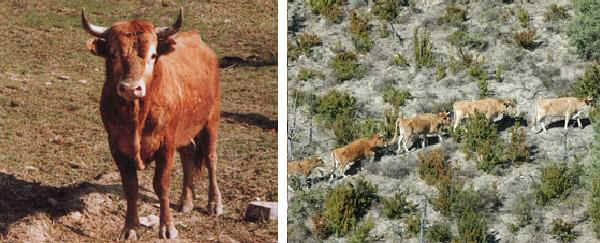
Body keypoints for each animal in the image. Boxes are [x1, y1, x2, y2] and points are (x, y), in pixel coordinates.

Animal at [79, 8, 220, 240]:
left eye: (153, 55)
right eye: (113, 54)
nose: (130, 88)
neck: (137, 116)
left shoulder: (166, 145)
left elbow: (161, 185)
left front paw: (167, 227)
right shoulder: (116, 147)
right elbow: (131, 187)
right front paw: (129, 228)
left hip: (211, 119)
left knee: (210, 158)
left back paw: (215, 203)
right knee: (188, 153)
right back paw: (186, 201)